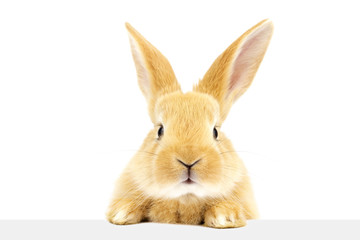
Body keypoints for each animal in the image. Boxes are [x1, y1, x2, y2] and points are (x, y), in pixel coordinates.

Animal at [105, 19, 274, 228]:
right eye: (160, 130)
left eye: (215, 132)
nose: (188, 160)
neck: (185, 199)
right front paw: (121, 212)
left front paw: (226, 216)